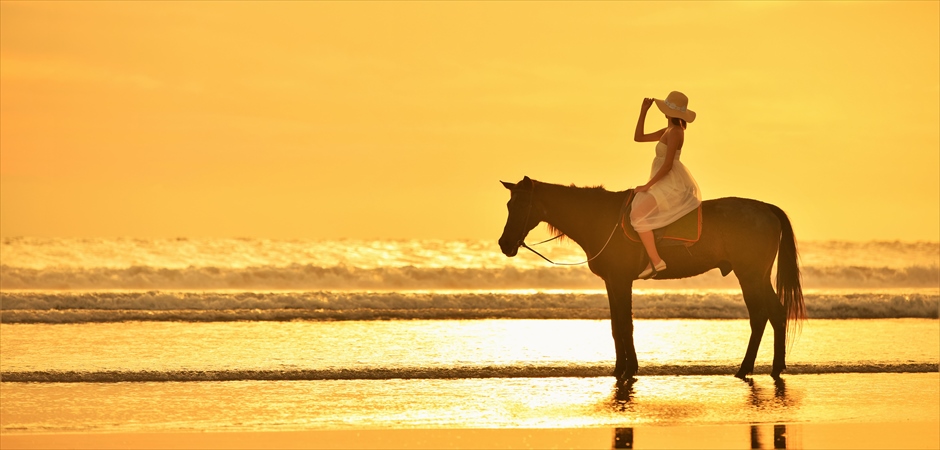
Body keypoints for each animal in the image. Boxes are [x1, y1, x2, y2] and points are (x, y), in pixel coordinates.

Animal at [496, 176, 804, 380]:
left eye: (520, 205)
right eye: (509, 204)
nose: (504, 244)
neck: (599, 218)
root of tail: (766, 208)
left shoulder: (621, 280)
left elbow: (625, 325)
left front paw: (628, 369)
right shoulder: (612, 282)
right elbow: (616, 326)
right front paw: (620, 368)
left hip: (750, 275)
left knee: (761, 315)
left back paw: (747, 368)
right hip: (757, 276)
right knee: (775, 314)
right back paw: (772, 367)